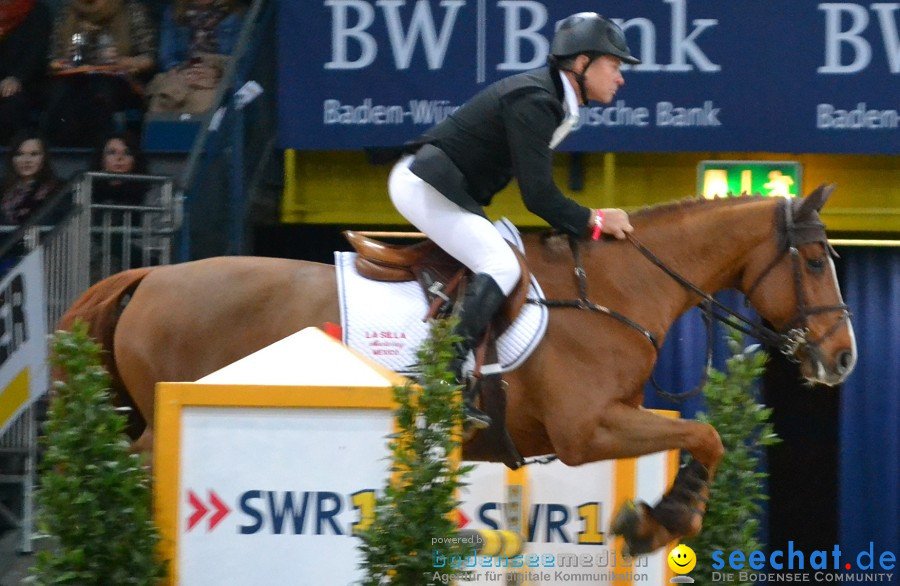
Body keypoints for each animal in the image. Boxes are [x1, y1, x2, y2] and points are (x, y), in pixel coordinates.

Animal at [56, 186, 856, 552]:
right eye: (818, 260)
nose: (843, 358)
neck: (617, 292)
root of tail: (150, 276)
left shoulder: (605, 425)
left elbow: (698, 434)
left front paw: (656, 519)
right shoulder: (586, 431)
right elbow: (706, 436)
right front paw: (661, 523)